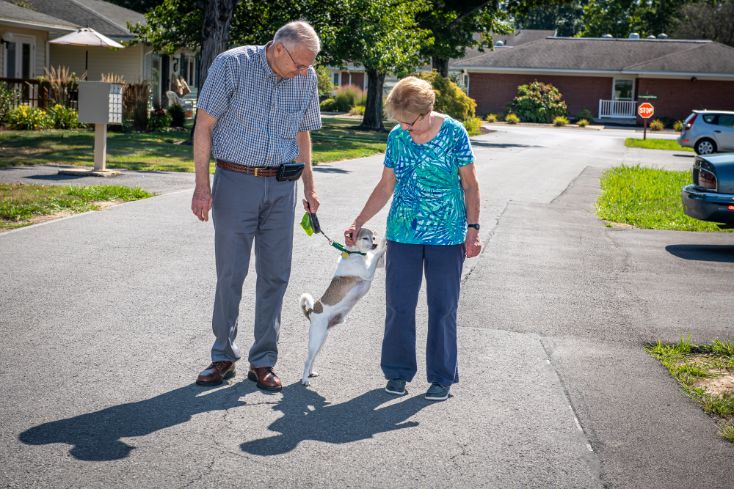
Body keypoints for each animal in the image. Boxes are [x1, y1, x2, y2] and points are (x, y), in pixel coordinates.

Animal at [302, 227, 388, 384]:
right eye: (365, 238)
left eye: (373, 238)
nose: (374, 244)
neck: (357, 254)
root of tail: (311, 311)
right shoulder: (368, 272)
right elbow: (377, 254)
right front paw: (384, 243)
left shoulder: (378, 265)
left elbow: (379, 256)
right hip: (315, 340)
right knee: (307, 360)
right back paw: (304, 379)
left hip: (321, 339)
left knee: (313, 359)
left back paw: (311, 373)